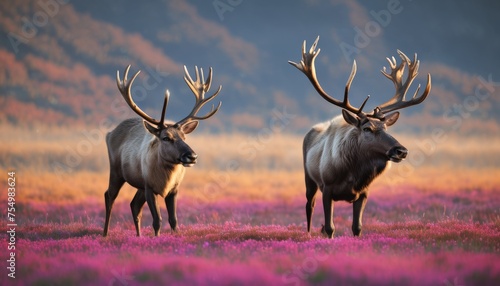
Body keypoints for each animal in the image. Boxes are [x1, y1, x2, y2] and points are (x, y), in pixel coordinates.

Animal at [102, 65, 222, 237]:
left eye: (184, 137)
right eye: (166, 137)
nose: (192, 156)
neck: (166, 179)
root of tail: (109, 133)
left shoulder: (173, 189)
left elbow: (174, 220)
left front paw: (174, 235)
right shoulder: (150, 187)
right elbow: (157, 221)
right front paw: (157, 238)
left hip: (139, 184)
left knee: (134, 205)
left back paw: (139, 236)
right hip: (116, 171)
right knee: (109, 196)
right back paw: (105, 234)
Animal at [288, 38, 432, 239]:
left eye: (385, 127)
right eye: (367, 128)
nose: (401, 150)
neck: (352, 175)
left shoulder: (363, 193)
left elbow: (357, 227)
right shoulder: (327, 188)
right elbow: (330, 227)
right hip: (309, 178)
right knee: (309, 205)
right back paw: (308, 234)